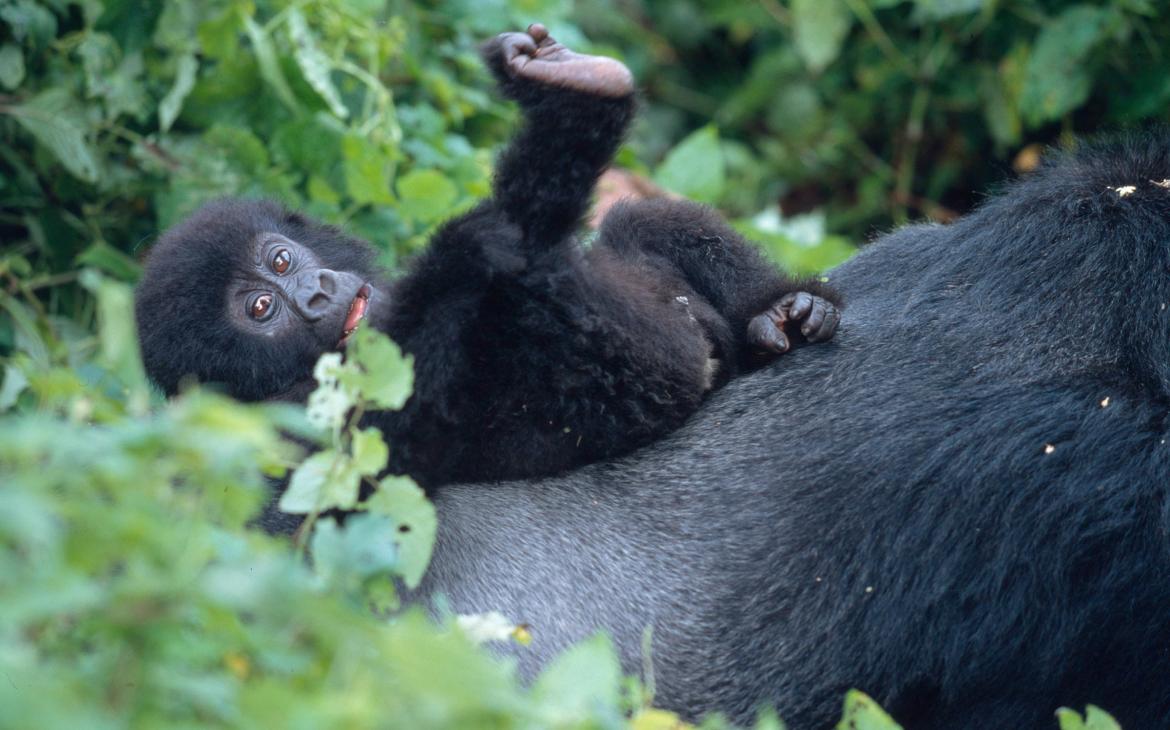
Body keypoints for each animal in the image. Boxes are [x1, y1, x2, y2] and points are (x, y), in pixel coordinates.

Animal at [136, 24, 842, 491]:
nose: (313, 292)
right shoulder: (294, 426)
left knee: (633, 225)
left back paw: (781, 311)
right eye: (261, 309)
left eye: (280, 263)